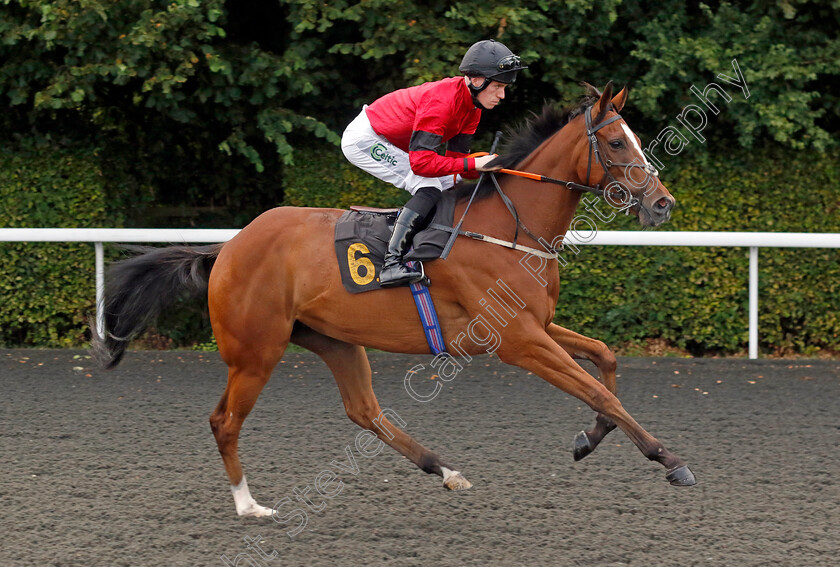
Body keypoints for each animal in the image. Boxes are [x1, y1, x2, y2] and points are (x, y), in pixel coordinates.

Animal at [92, 81, 696, 520]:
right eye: (616, 143)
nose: (662, 204)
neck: (509, 228)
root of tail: (228, 247)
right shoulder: (517, 341)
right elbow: (600, 390)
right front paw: (669, 459)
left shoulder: (538, 326)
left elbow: (605, 362)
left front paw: (588, 440)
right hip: (255, 352)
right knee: (225, 421)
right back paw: (250, 506)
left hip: (334, 340)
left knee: (365, 412)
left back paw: (445, 470)